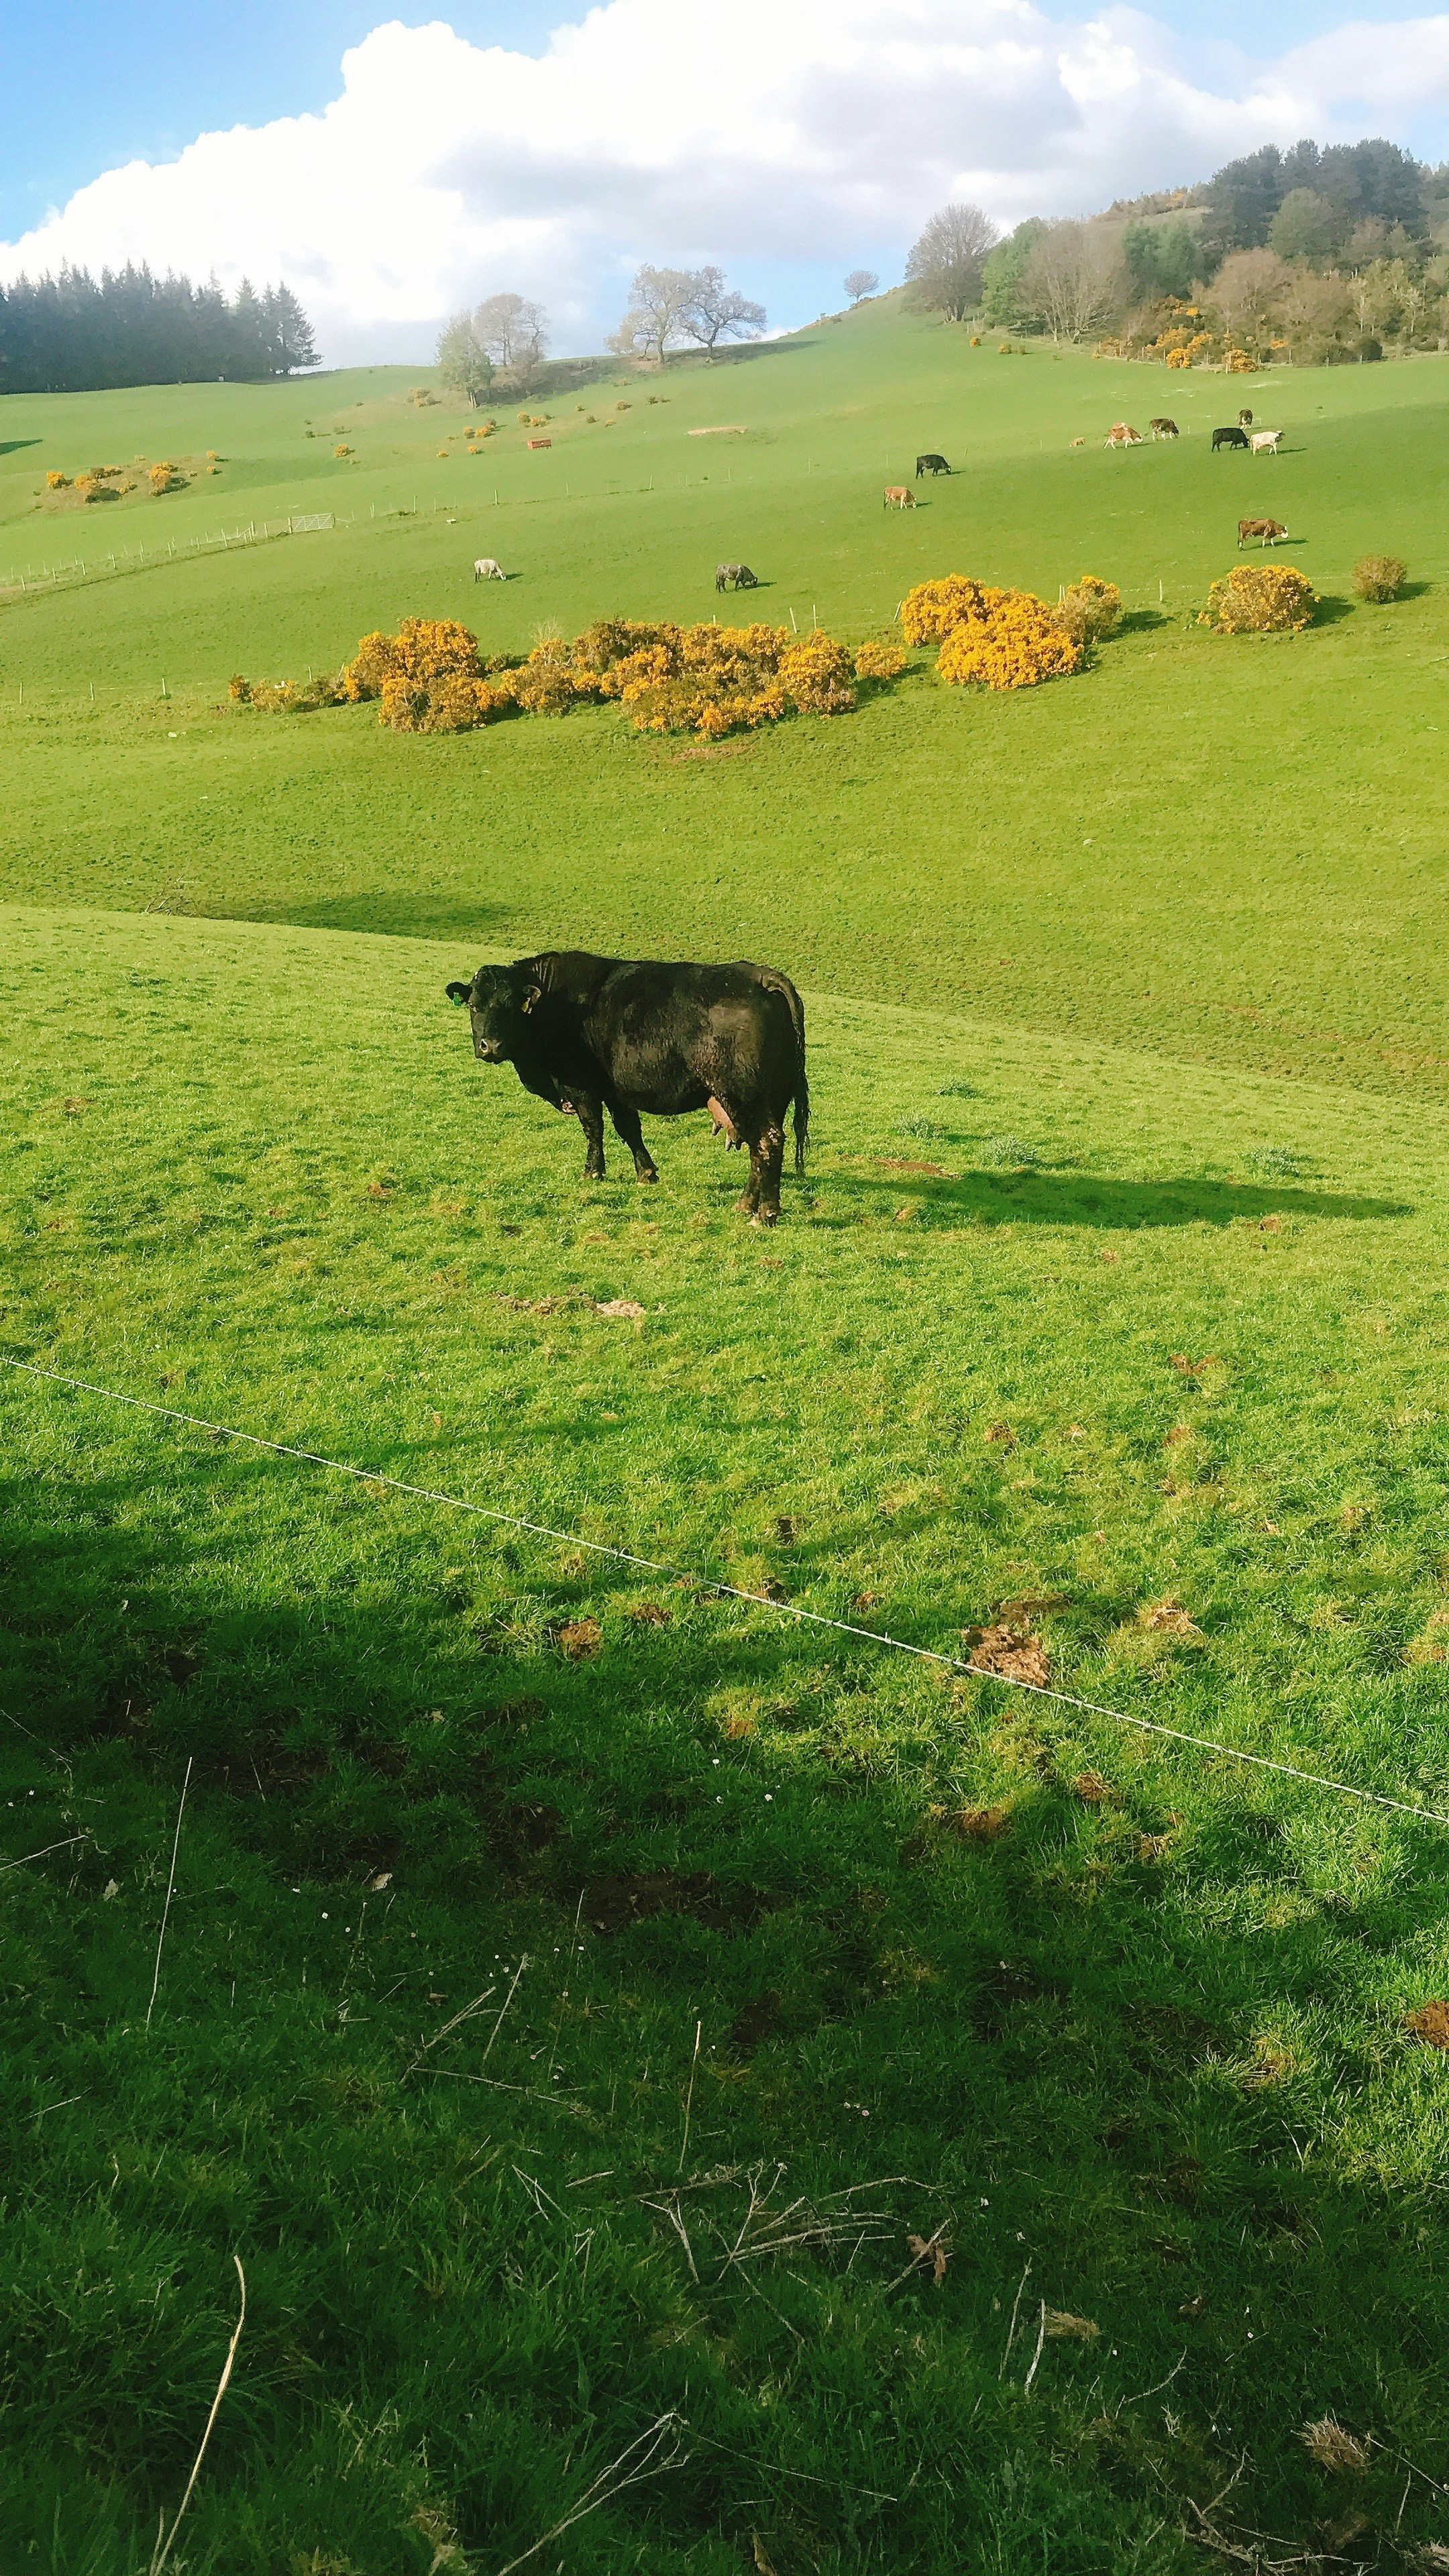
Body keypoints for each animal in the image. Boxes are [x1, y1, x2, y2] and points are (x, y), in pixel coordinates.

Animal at [445, 952, 809, 1226]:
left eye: (510, 1006)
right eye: (474, 1006)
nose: (490, 1046)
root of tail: (758, 977)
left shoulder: (581, 1086)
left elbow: (594, 1127)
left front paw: (592, 1172)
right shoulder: (616, 1091)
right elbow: (629, 1129)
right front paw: (646, 1173)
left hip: (742, 1095)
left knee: (766, 1143)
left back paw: (764, 1213)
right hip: (771, 1098)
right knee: (759, 1148)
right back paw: (746, 1204)